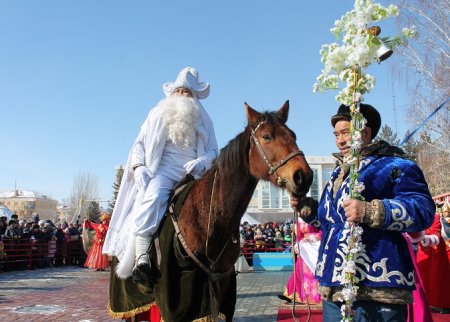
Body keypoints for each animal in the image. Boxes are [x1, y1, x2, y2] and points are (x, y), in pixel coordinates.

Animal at [148, 100, 312, 320]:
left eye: (293, 135)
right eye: (267, 136)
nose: (304, 175)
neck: (207, 217)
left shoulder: (222, 284)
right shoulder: (183, 299)